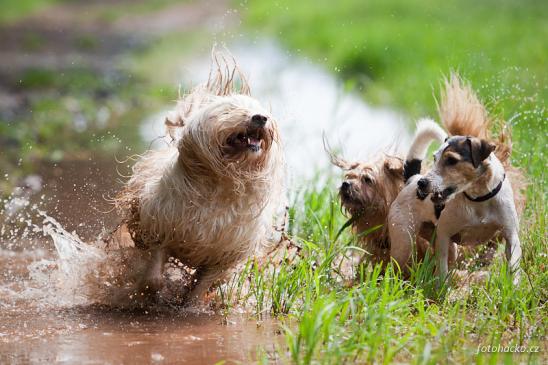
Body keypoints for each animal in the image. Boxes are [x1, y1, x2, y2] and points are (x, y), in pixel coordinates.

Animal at [114, 56, 284, 302]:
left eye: (260, 111)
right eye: (230, 110)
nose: (261, 118)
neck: (222, 185)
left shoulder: (223, 256)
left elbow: (198, 291)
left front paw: (189, 304)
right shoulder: (161, 228)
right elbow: (153, 277)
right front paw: (150, 293)